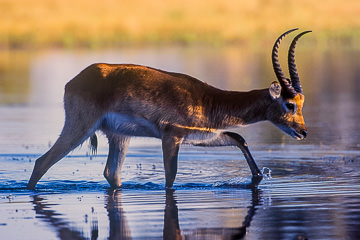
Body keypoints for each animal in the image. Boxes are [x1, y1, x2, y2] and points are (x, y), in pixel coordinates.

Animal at [27, 28, 310, 189]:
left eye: (302, 103)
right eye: (289, 104)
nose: (303, 132)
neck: (208, 99)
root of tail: (75, 80)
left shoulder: (200, 137)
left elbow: (238, 138)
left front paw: (257, 177)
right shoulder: (171, 136)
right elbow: (171, 177)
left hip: (120, 136)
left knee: (111, 173)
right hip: (80, 128)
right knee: (42, 162)